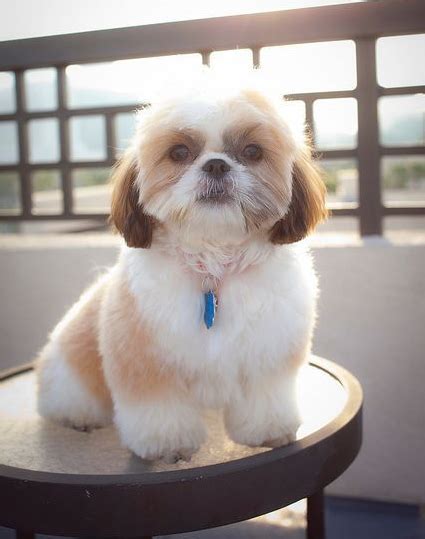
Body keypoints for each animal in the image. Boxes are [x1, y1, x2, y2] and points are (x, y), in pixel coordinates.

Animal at [37, 82, 328, 462]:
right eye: (179, 152)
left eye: (252, 151)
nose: (216, 165)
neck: (214, 266)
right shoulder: (145, 358)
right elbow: (159, 408)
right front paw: (167, 445)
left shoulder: (267, 353)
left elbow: (265, 396)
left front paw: (267, 431)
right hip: (71, 372)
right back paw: (78, 417)